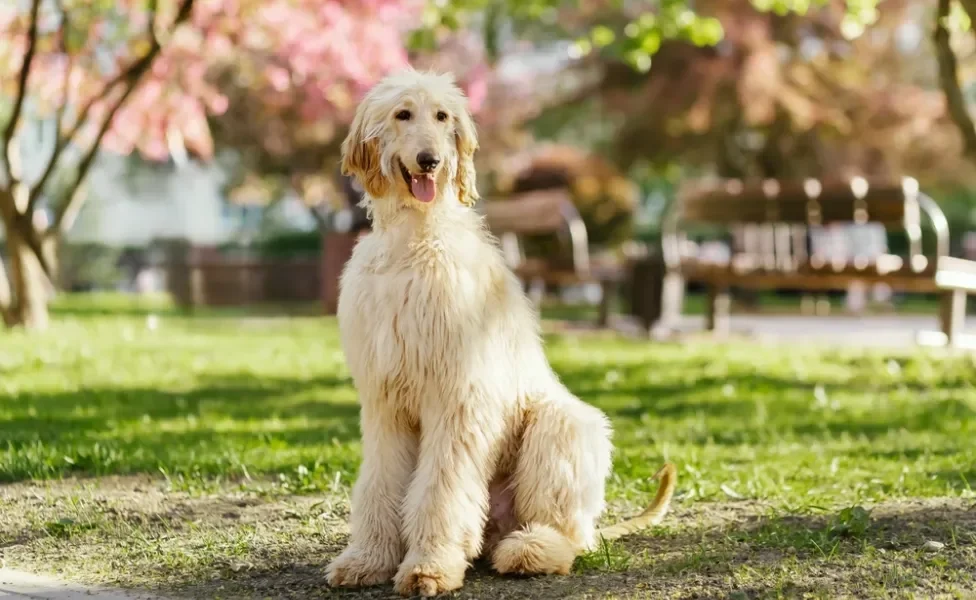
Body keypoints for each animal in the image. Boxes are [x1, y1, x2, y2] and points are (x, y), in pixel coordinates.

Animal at [328, 69, 680, 596]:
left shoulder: (457, 396)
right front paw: (367, 559)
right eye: (403, 113)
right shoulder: (386, 400)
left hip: (562, 424)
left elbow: (441, 487)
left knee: (568, 534)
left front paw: (429, 565)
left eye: (443, 116)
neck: (416, 239)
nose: (431, 161)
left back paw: (530, 550)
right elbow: (381, 482)